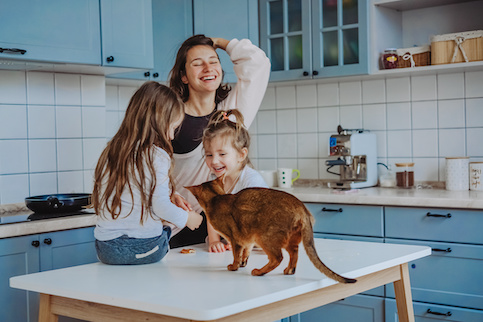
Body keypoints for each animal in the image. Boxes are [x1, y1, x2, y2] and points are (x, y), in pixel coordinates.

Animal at [187, 175, 358, 284]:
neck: (216, 198)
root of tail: (302, 208)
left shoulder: (235, 238)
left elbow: (236, 254)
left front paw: (234, 267)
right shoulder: (247, 239)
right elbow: (245, 253)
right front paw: (242, 263)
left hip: (264, 236)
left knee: (277, 257)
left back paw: (259, 272)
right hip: (289, 239)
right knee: (294, 253)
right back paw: (289, 270)